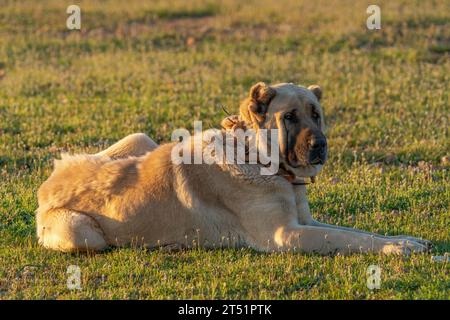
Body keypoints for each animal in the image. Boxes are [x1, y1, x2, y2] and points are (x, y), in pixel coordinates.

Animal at [37, 82, 430, 255]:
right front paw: (398, 249)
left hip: (140, 138)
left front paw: (403, 240)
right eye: (289, 117)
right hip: (82, 236)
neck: (256, 157)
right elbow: (349, 240)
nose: (320, 146)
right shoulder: (287, 235)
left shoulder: (306, 222)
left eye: (316, 114)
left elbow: (357, 232)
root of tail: (46, 188)